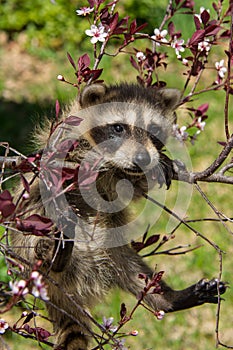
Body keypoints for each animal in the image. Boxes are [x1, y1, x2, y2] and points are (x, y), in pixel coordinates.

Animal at [11, 83, 226, 348]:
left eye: (154, 130)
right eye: (118, 128)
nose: (143, 158)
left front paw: (159, 163)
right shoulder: (61, 142)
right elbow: (62, 163)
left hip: (113, 250)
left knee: (136, 271)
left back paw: (171, 299)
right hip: (28, 236)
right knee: (37, 242)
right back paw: (56, 256)